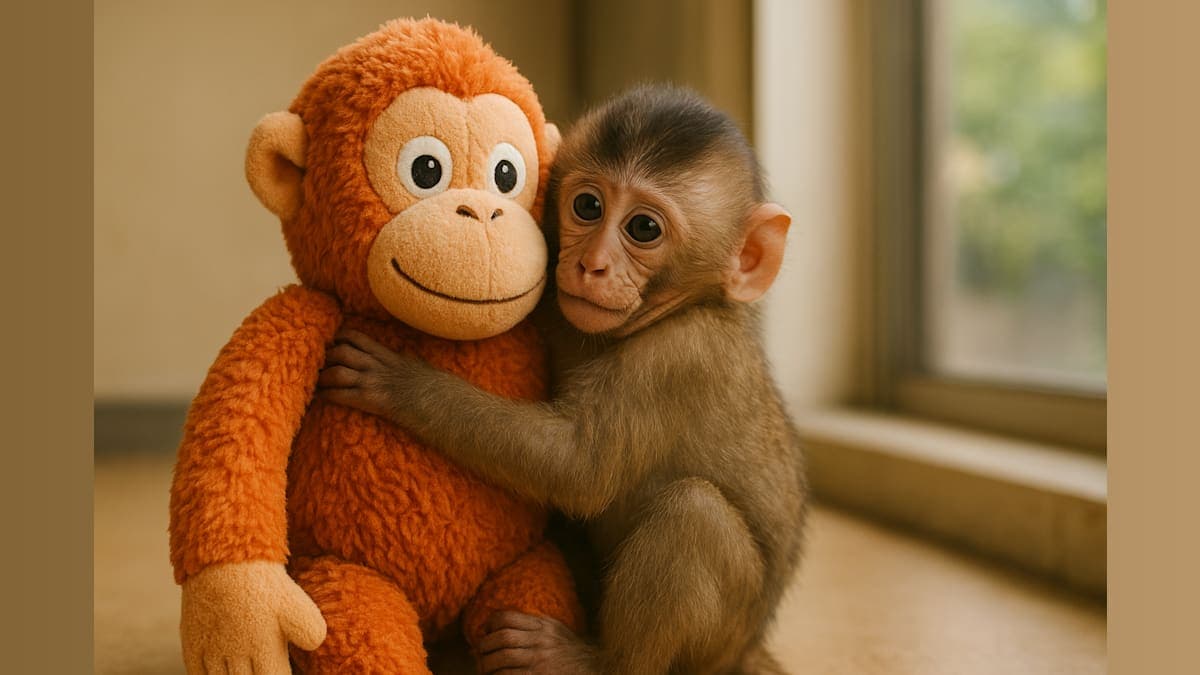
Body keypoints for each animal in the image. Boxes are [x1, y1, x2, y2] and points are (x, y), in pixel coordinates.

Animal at [320, 85, 807, 675]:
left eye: (644, 228)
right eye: (588, 206)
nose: (591, 265)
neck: (678, 308)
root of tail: (749, 648)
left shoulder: (677, 358)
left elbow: (580, 469)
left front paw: (401, 383)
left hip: (718, 643)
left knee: (694, 514)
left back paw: (593, 660)